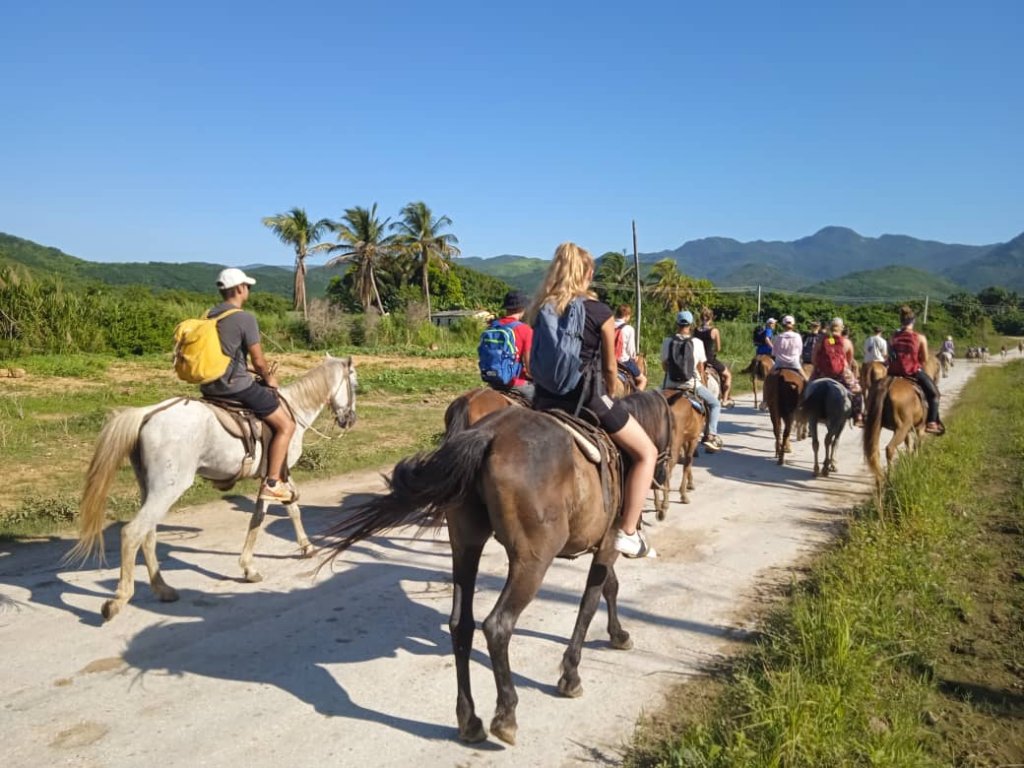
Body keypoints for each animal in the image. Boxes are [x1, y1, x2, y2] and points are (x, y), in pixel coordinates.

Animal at [68, 358, 356, 622]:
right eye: (355, 383)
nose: (350, 419)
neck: (295, 408)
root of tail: (148, 414)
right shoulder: (276, 475)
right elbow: (275, 513)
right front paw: (289, 552)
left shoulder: (273, 476)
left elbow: (277, 512)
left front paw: (264, 562)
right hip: (168, 488)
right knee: (132, 533)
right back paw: (119, 599)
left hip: (149, 487)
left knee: (147, 535)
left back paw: (162, 588)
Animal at [323, 403, 667, 745]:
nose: (663, 475)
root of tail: (488, 434)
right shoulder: (607, 546)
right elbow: (590, 603)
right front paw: (571, 676)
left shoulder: (603, 546)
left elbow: (609, 587)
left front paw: (618, 634)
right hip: (531, 561)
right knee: (498, 625)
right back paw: (506, 715)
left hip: (465, 548)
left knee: (461, 625)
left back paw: (469, 719)